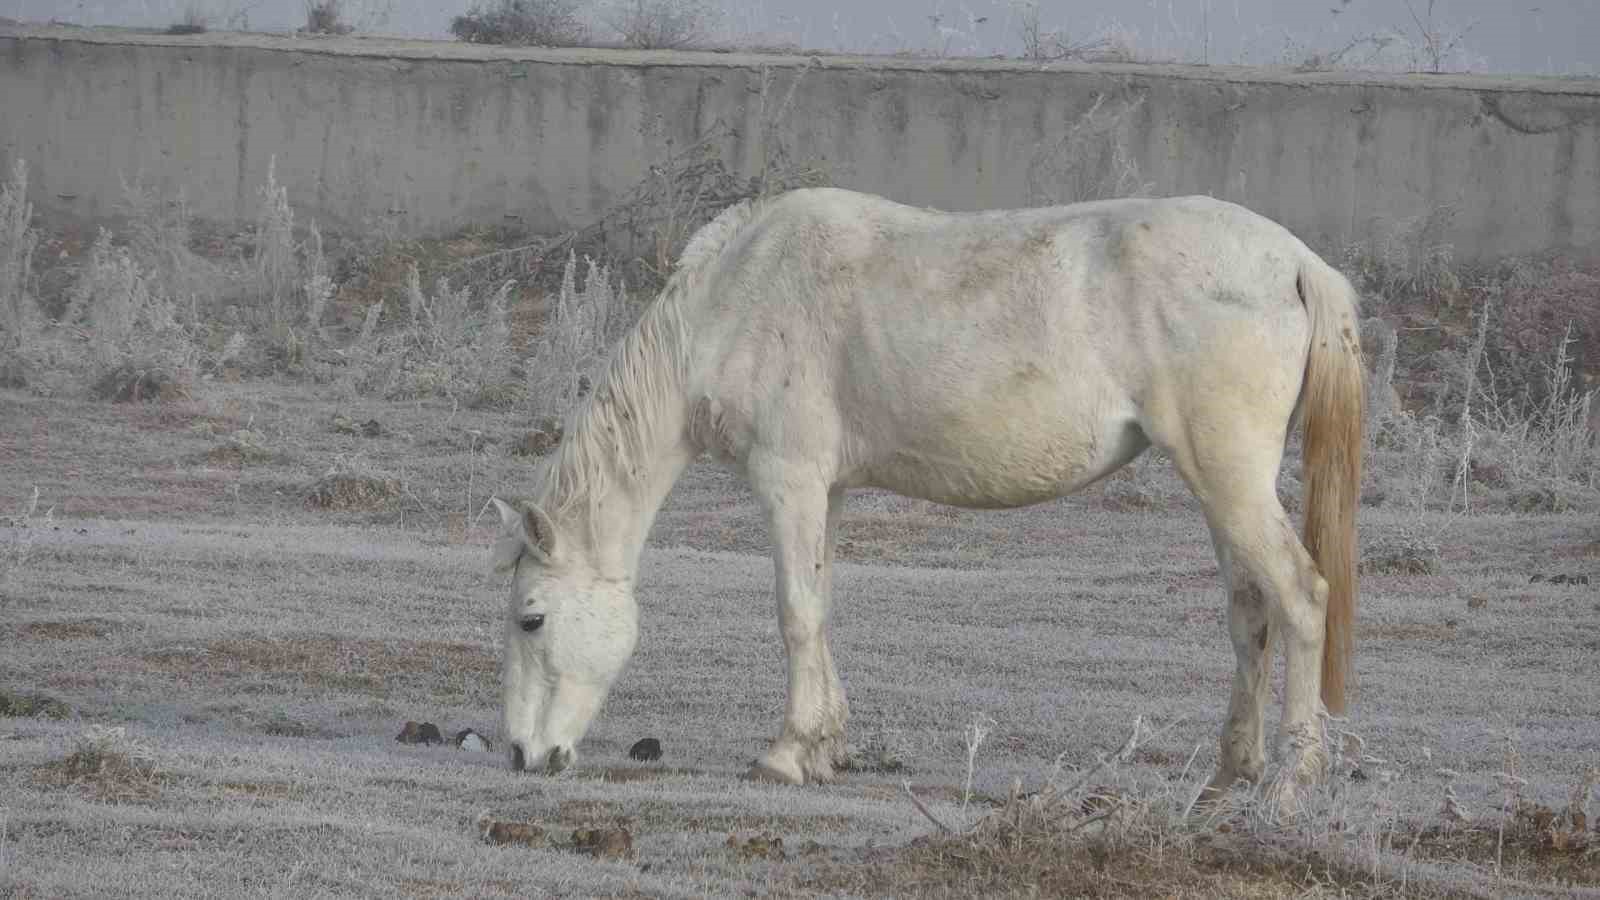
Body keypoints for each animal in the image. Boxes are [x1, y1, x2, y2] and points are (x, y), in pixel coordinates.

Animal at [489, 185, 1363, 800]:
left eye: (531, 619)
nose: (523, 755)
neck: (735, 298)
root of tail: (1294, 261)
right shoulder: (828, 491)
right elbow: (820, 605)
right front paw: (827, 745)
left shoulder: (789, 481)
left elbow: (794, 614)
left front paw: (785, 754)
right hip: (1222, 489)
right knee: (1250, 611)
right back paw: (1230, 774)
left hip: (1229, 479)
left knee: (1302, 596)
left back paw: (1293, 779)